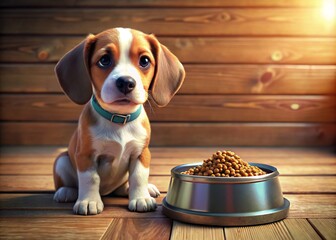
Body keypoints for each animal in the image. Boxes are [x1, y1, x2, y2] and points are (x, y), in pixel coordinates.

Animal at [51, 27, 186, 215]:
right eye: (104, 60)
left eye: (144, 61)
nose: (126, 82)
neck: (119, 121)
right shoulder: (86, 155)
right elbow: (90, 178)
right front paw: (89, 201)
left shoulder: (141, 153)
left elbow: (138, 177)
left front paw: (141, 198)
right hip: (61, 160)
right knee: (69, 182)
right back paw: (66, 191)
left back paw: (142, 189)